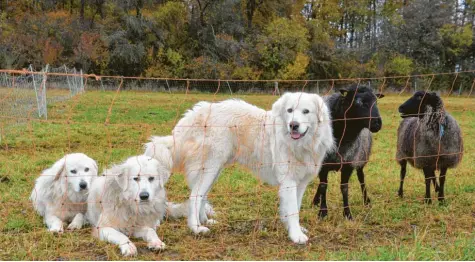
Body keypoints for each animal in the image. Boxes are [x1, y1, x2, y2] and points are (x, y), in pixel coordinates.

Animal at [147, 93, 336, 245]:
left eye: (306, 111)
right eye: (290, 110)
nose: (293, 125)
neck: (300, 144)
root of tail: (197, 113)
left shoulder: (301, 183)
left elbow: (295, 207)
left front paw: (293, 228)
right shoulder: (289, 181)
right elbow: (293, 211)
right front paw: (296, 236)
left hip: (214, 170)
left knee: (202, 195)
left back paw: (205, 221)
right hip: (210, 167)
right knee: (195, 196)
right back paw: (196, 228)